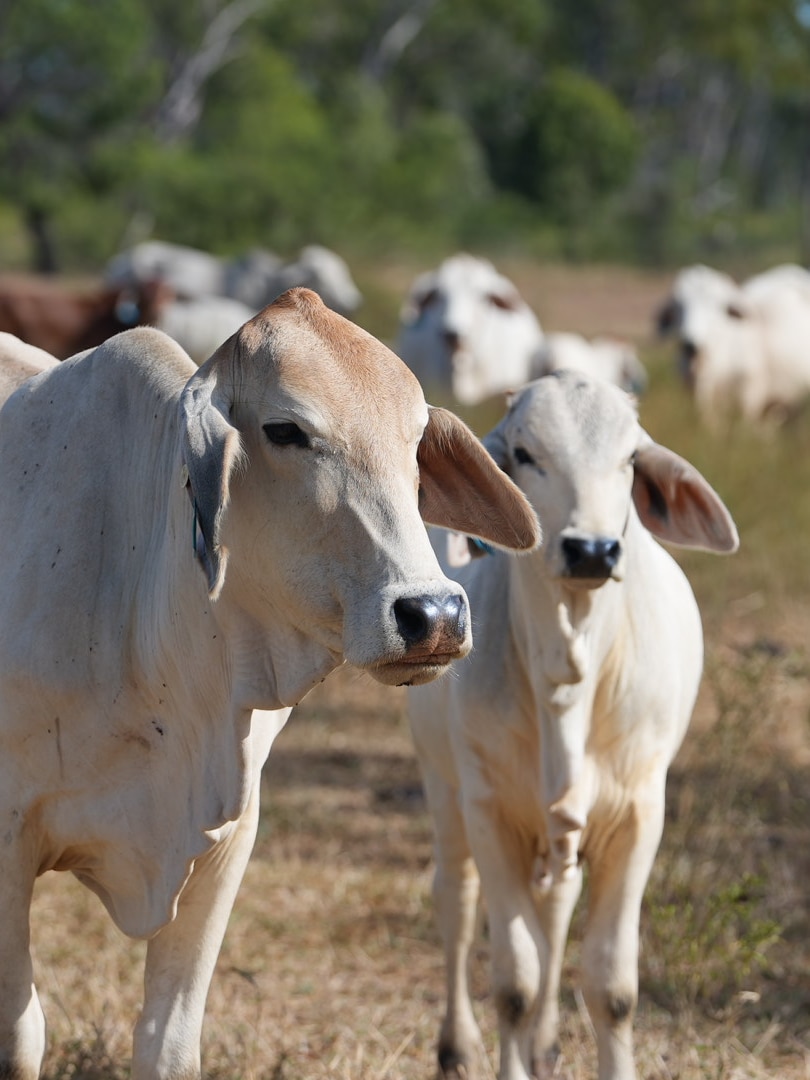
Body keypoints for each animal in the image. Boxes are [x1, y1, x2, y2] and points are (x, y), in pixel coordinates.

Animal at [0, 289, 539, 1080]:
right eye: (286, 431)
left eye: (415, 443)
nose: (433, 615)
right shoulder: (7, 841)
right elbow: (20, 1037)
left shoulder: (225, 839)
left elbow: (167, 1043)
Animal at [408, 371, 738, 1080]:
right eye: (523, 454)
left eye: (630, 458)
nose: (591, 549)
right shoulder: (489, 812)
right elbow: (514, 980)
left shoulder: (638, 816)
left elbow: (611, 987)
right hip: (442, 787)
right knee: (456, 903)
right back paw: (458, 1045)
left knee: (556, 911)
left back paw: (546, 1041)